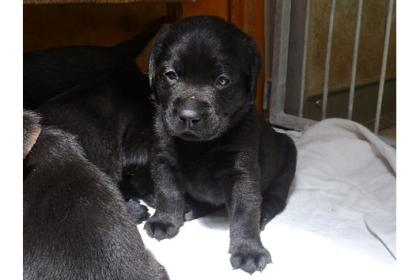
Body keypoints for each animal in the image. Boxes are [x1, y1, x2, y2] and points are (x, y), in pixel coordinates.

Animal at [144, 15, 298, 274]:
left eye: (222, 81)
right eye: (171, 75)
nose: (189, 116)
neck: (199, 146)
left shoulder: (242, 172)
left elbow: (245, 211)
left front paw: (248, 249)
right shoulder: (163, 159)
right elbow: (167, 191)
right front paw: (164, 219)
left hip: (288, 158)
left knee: (276, 196)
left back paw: (264, 212)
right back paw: (189, 208)